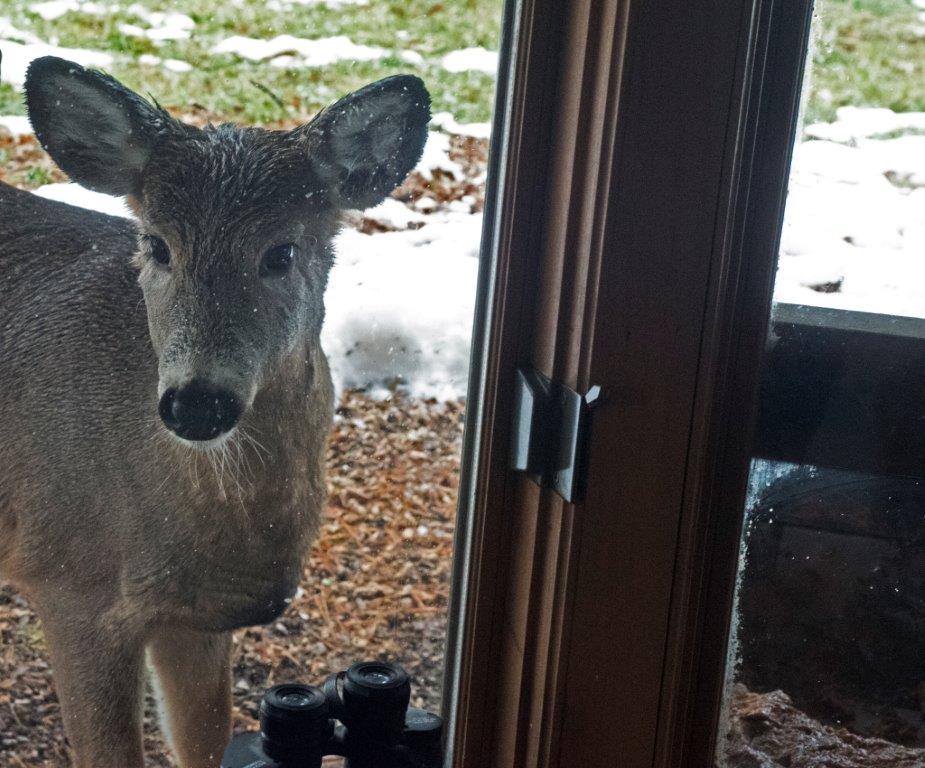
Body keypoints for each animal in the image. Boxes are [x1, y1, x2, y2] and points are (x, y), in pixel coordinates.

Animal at [0, 55, 430, 767]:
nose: (196, 402)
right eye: (156, 245)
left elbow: (205, 741)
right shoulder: (68, 582)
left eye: (281, 252)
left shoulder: (197, 615)